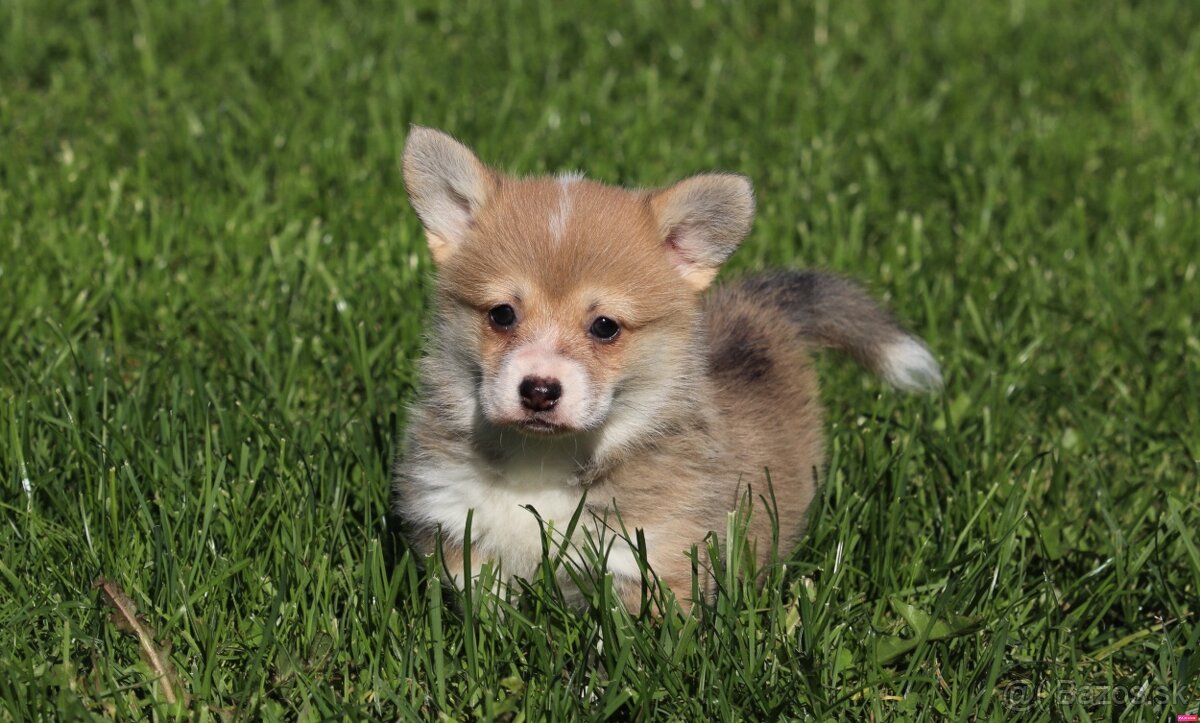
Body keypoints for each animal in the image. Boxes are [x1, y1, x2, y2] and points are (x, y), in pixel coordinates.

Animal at [391, 126, 936, 610]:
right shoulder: (460, 536)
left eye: (605, 326)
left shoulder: (648, 555)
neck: (544, 460)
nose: (540, 390)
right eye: (502, 314)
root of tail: (756, 311)